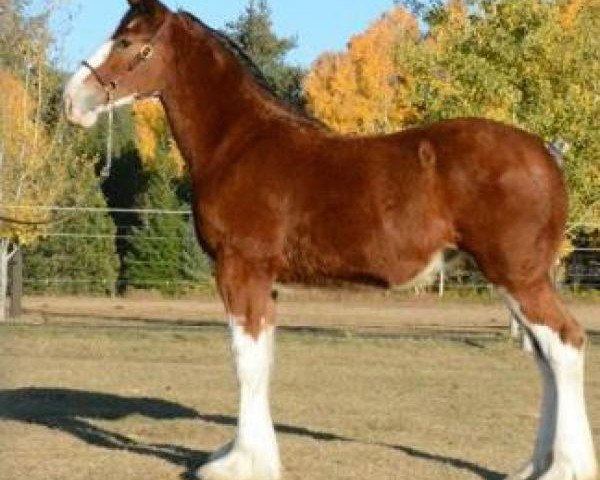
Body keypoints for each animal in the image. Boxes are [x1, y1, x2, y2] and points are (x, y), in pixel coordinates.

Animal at [63, 0, 596, 480]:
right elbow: (263, 359)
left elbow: (245, 361)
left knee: (564, 345)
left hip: (518, 276)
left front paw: (238, 464)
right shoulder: (265, 281)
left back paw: (562, 469)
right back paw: (533, 466)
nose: (72, 100)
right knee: (546, 357)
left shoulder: (240, 269)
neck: (240, 143)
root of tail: (546, 152)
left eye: (127, 41)